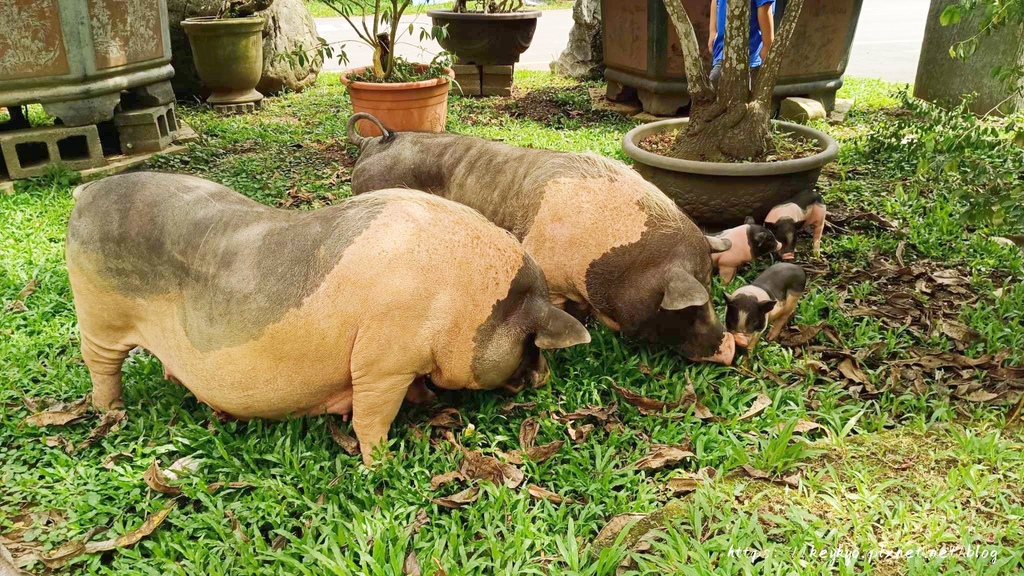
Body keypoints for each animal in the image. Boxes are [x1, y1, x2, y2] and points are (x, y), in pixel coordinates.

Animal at [66, 171, 593, 461]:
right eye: (531, 342)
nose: (544, 379)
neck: (459, 300)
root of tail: (87, 191)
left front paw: (424, 400)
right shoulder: (383, 360)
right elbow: (371, 415)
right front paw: (381, 463)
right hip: (97, 314)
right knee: (101, 365)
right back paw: (111, 412)